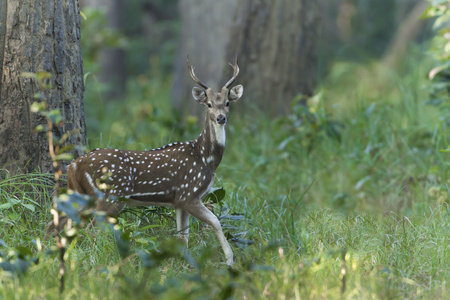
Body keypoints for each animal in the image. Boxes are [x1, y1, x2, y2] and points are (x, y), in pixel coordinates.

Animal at [46, 54, 243, 264]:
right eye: (209, 104)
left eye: (227, 103)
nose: (221, 118)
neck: (206, 158)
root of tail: (74, 165)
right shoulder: (189, 194)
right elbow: (215, 222)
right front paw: (229, 261)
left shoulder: (178, 201)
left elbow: (183, 236)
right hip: (110, 195)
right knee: (92, 230)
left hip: (81, 194)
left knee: (56, 223)